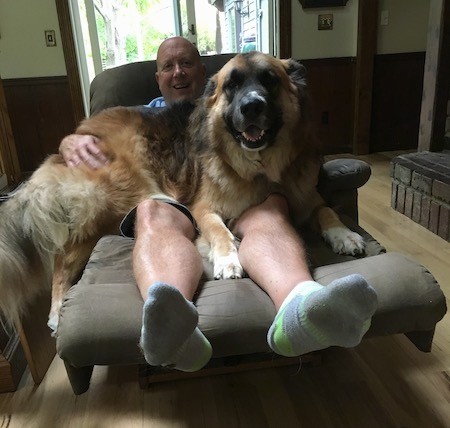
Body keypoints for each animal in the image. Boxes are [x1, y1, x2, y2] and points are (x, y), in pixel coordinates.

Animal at [0, 51, 364, 330]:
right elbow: (218, 229)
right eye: (232, 85)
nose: (251, 106)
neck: (261, 168)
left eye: (269, 80)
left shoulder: (306, 195)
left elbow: (326, 209)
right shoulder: (203, 206)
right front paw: (226, 258)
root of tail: (68, 146)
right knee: (61, 259)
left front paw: (344, 234)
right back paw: (56, 313)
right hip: (114, 199)